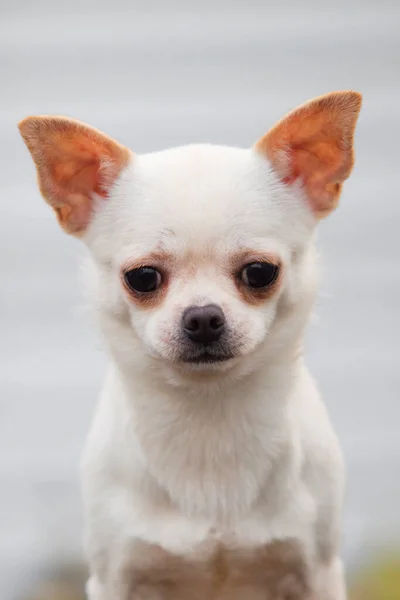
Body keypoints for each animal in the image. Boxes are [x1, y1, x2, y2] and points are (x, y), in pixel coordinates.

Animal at [18, 90, 362, 600]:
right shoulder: (115, 576)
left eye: (260, 272)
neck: (209, 419)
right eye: (142, 278)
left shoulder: (317, 572)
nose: (202, 317)